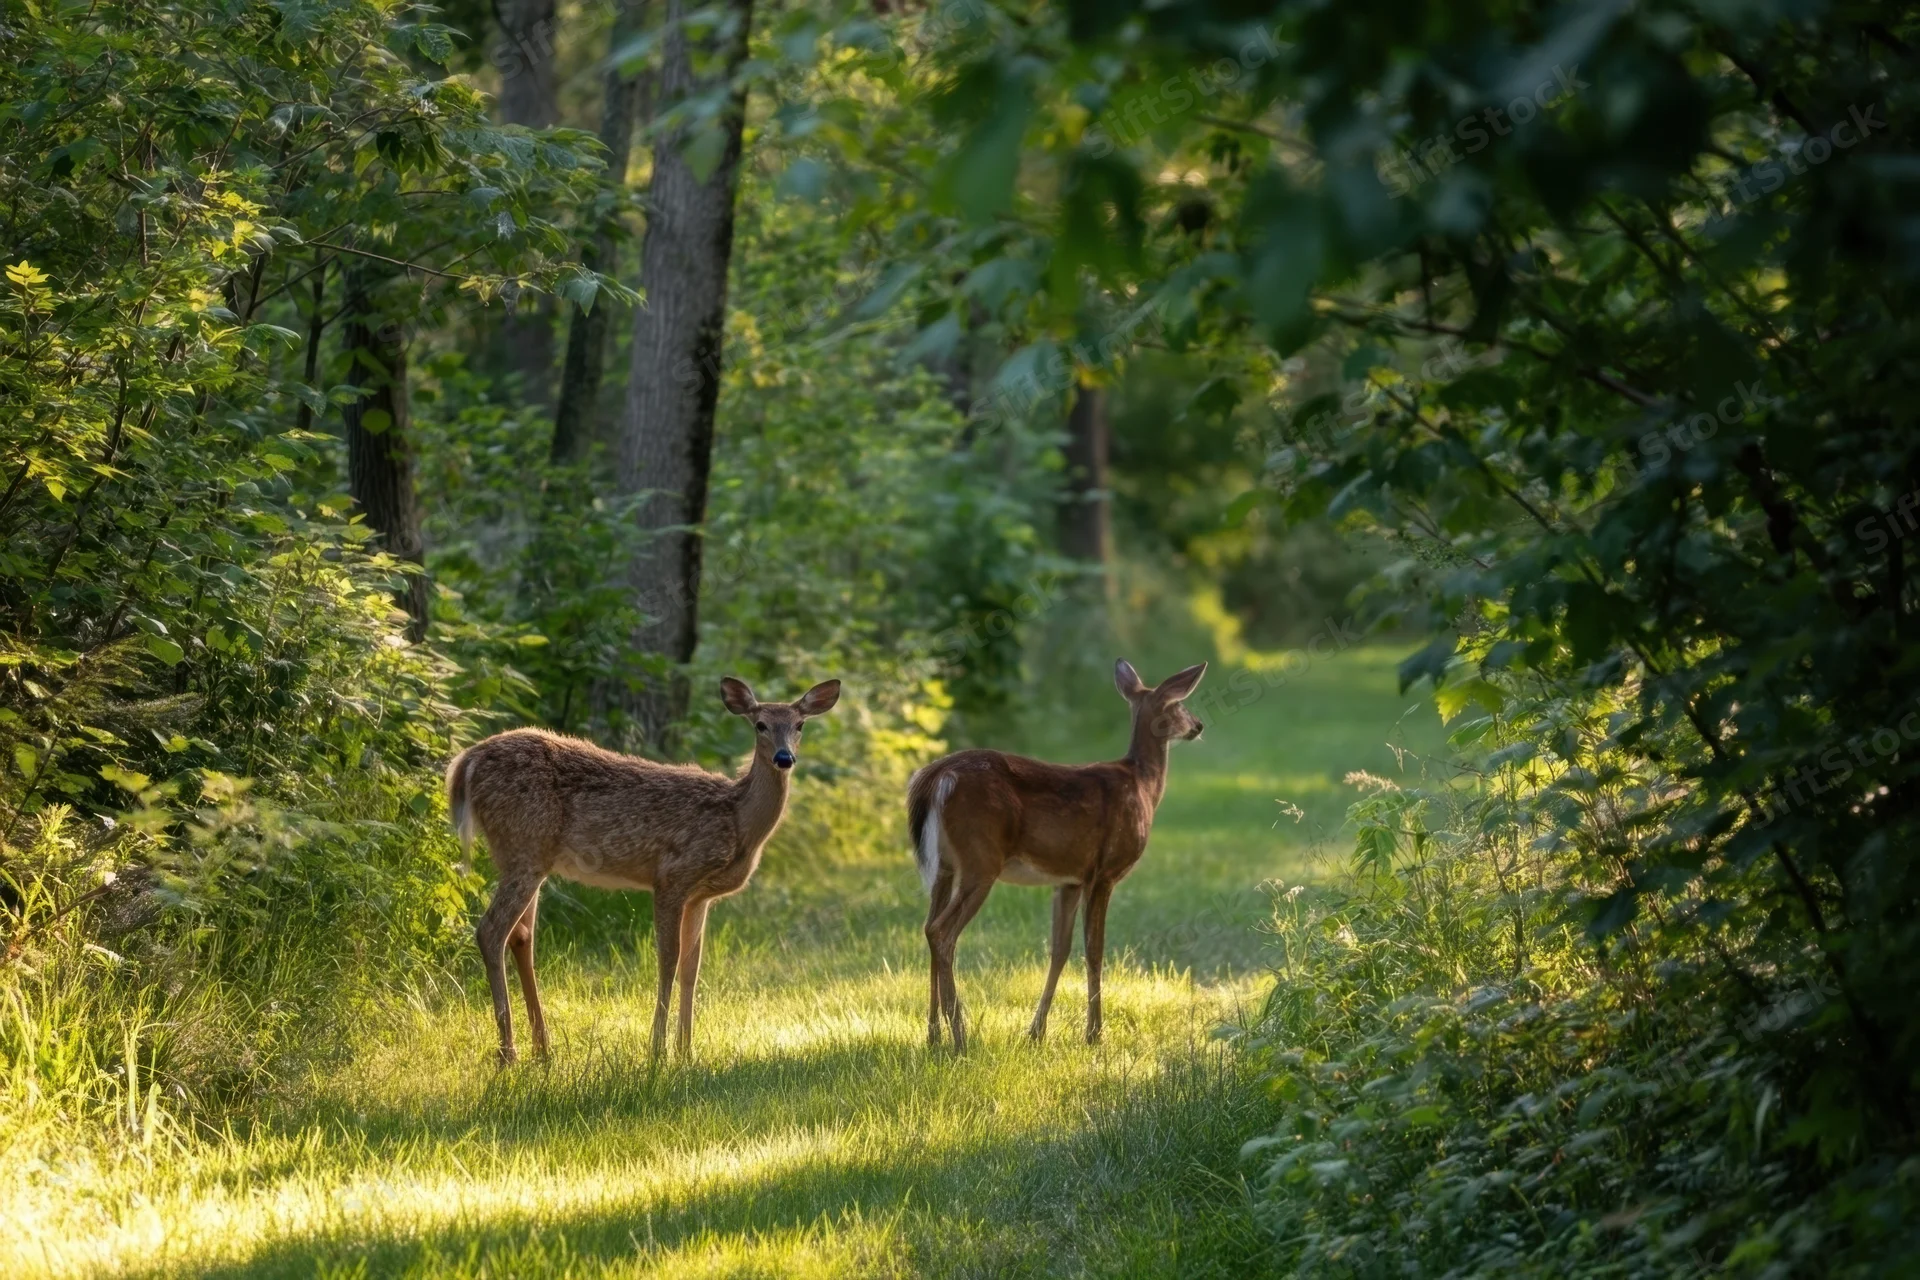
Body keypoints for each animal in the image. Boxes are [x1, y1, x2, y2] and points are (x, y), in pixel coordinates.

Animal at [445, 676, 841, 1064]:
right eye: (760, 724)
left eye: (799, 725)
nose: (784, 757)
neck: (738, 820)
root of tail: (466, 762)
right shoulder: (671, 875)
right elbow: (668, 959)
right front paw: (657, 1051)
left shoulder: (701, 896)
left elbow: (692, 967)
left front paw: (686, 1051)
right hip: (522, 846)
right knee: (491, 931)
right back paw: (507, 1053)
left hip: (531, 858)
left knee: (521, 936)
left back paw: (543, 1050)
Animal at [906, 659, 1207, 1051]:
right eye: (1179, 704)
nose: (1198, 725)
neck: (1143, 785)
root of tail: (937, 776)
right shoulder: (1104, 872)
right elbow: (1094, 949)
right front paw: (1094, 1034)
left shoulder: (1069, 880)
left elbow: (1059, 949)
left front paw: (1036, 1032)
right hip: (980, 860)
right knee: (941, 931)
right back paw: (960, 1038)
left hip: (944, 866)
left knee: (929, 926)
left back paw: (933, 1036)